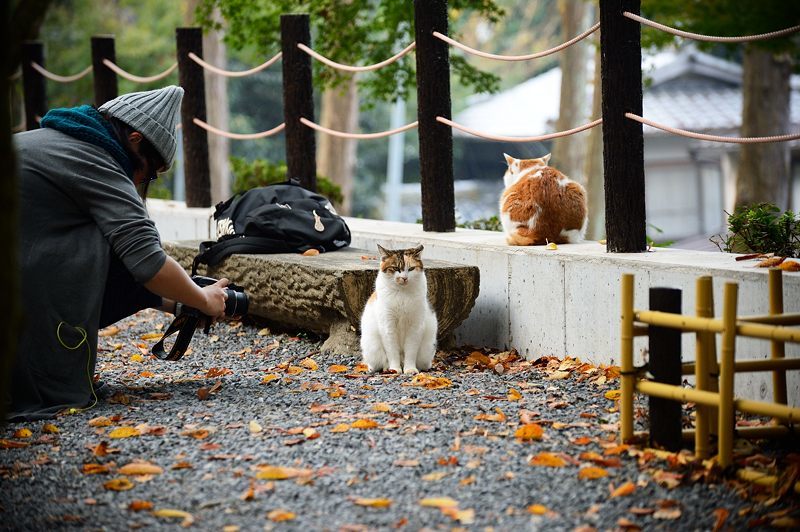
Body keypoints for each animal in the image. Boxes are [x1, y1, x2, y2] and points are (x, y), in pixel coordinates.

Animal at [362, 244, 438, 374]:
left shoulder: (415, 327)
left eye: (411, 268)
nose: (404, 278)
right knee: (381, 361)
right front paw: (395, 369)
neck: (402, 294)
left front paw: (410, 369)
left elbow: (411, 351)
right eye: (395, 268)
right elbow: (392, 352)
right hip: (372, 347)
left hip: (426, 350)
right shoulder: (388, 326)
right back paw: (383, 368)